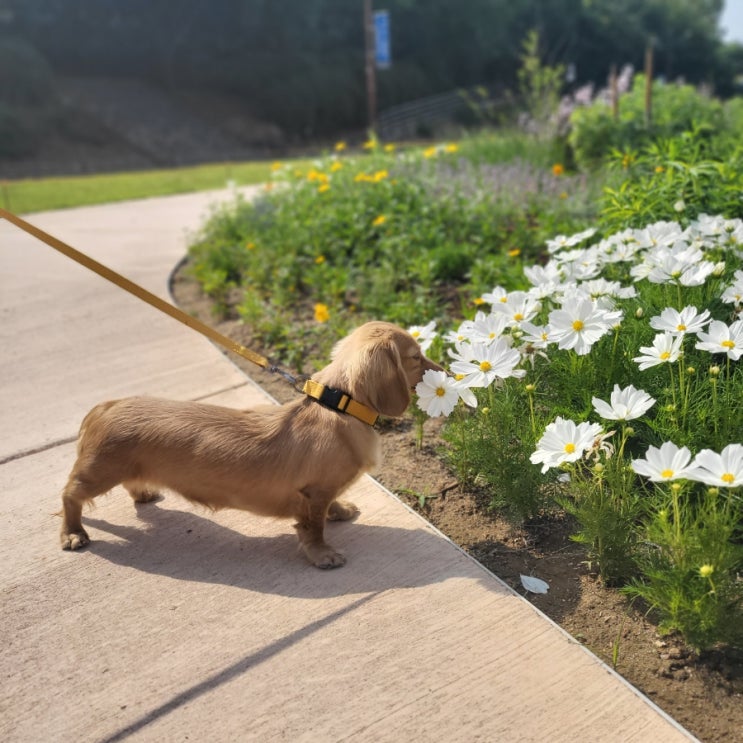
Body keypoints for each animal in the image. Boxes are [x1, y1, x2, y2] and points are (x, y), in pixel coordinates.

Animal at [59, 322, 442, 568]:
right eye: (415, 357)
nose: (442, 369)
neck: (336, 406)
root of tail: (107, 405)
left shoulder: (323, 490)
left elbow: (330, 507)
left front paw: (341, 509)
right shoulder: (313, 493)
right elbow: (314, 527)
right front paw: (322, 554)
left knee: (129, 484)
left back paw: (143, 493)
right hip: (98, 472)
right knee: (70, 496)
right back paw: (73, 533)